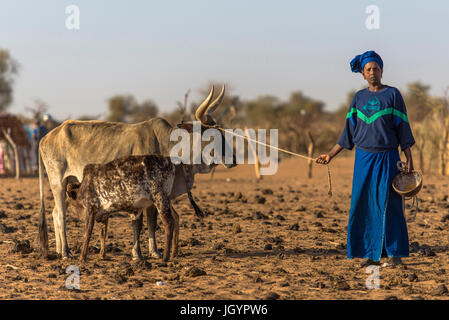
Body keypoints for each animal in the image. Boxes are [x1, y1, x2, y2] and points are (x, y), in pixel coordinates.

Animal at [38, 84, 234, 258]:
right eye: (211, 137)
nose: (232, 160)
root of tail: (46, 137)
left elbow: (151, 221)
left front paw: (153, 252)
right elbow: (142, 222)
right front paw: (141, 253)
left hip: (68, 182)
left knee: (55, 213)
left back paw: (60, 250)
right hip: (57, 182)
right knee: (61, 214)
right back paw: (65, 253)